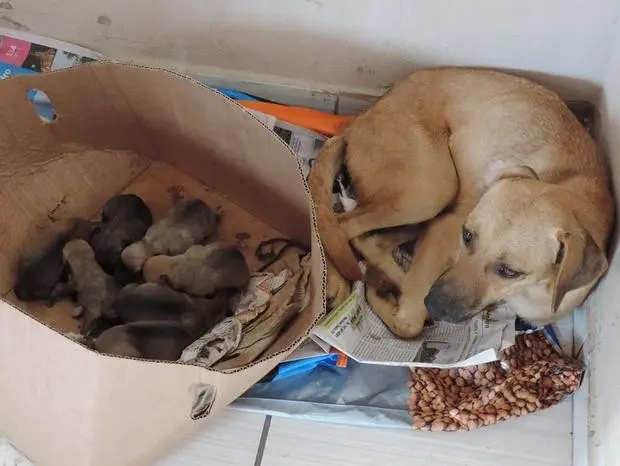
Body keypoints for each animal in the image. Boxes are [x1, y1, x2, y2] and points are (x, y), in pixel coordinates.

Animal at [312, 67, 612, 338]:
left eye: (510, 271)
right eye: (467, 235)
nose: (433, 304)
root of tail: (358, 118)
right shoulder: (445, 229)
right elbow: (409, 323)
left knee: (368, 240)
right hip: (430, 192)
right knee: (338, 225)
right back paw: (340, 281)